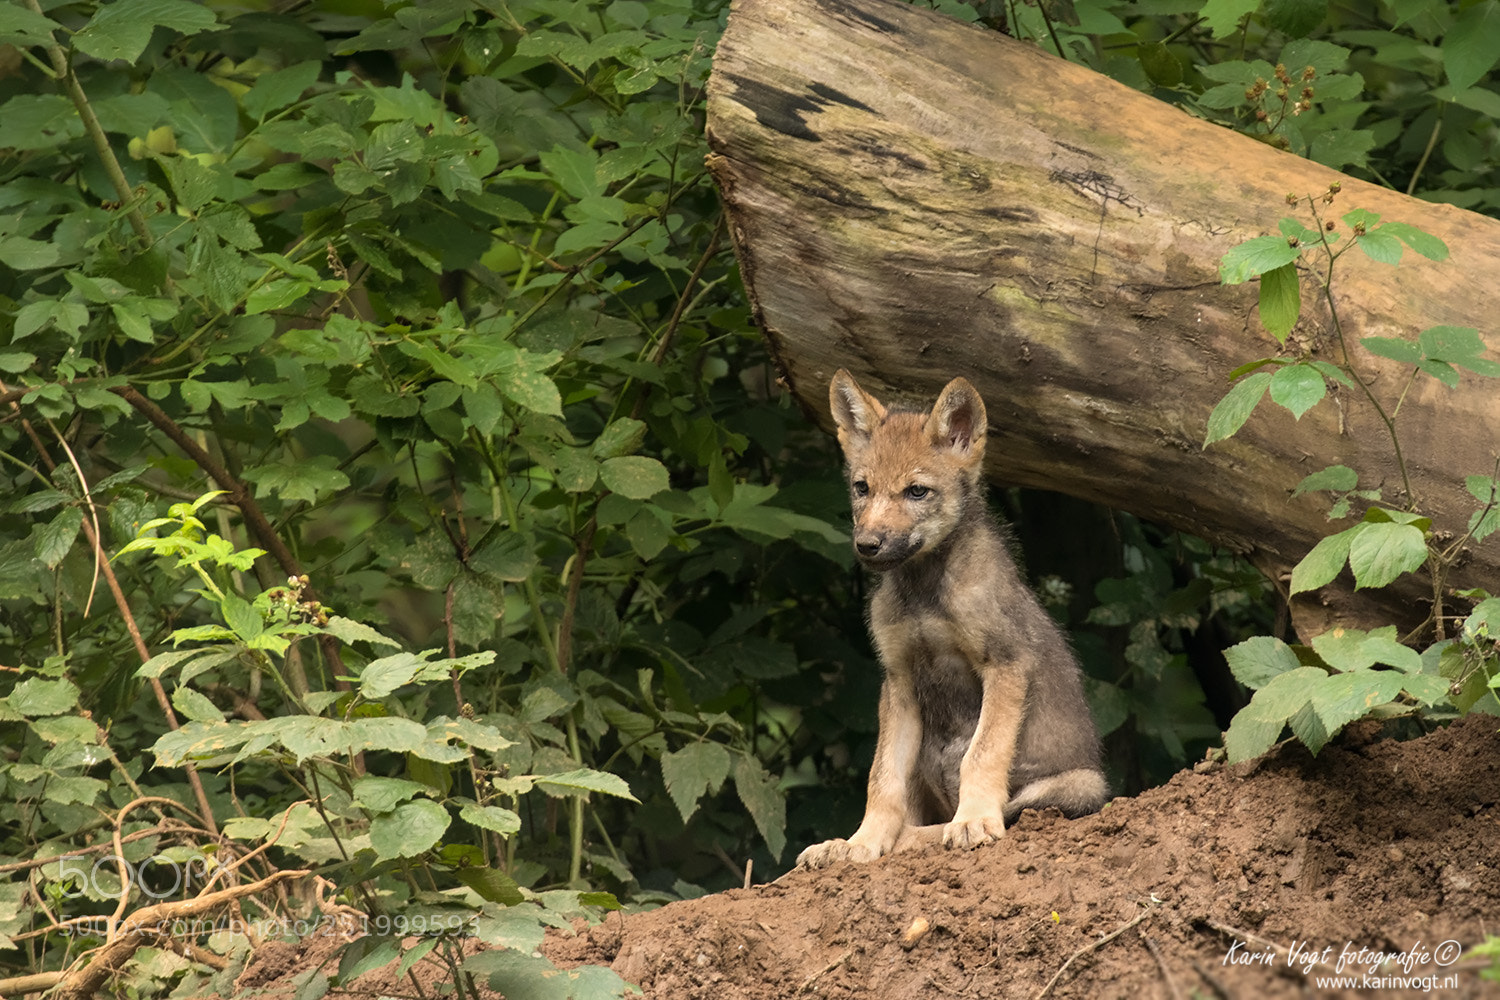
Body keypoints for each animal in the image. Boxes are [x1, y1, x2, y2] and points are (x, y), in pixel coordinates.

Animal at [797, 370, 1108, 869]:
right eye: (862, 488)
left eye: (916, 491)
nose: (867, 544)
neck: (924, 596)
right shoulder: (899, 680)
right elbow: (882, 780)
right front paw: (861, 842)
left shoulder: (1006, 663)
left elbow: (980, 756)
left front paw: (974, 821)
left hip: (1081, 785)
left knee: (963, 819)